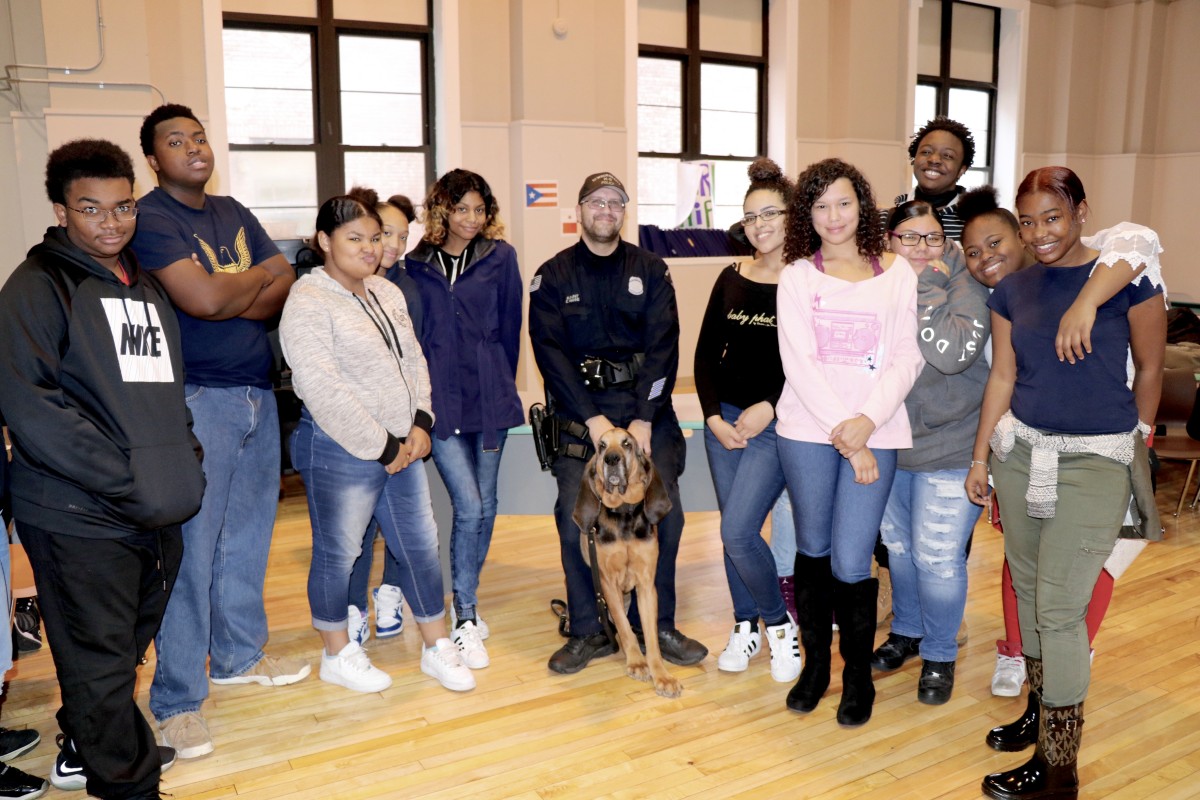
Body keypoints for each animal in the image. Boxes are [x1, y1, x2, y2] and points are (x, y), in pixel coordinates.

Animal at [573, 429, 686, 695]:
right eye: (601, 446)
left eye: (627, 444)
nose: (611, 459)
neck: (623, 512)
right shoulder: (608, 585)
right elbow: (625, 630)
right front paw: (636, 662)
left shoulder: (646, 585)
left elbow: (651, 636)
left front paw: (661, 675)